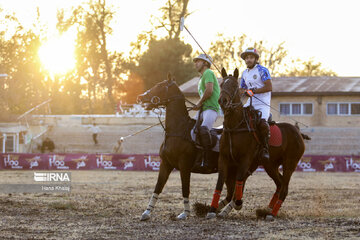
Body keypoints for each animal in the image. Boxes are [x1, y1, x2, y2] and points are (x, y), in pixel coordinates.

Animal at [138, 73, 222, 221]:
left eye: (159, 85)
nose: (140, 97)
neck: (177, 129)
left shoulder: (184, 165)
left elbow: (185, 188)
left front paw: (185, 213)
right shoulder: (165, 164)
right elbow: (158, 187)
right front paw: (147, 212)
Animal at [205, 68, 306, 220]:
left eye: (234, 86)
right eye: (222, 84)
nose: (222, 101)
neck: (235, 126)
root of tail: (298, 132)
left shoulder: (245, 159)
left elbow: (239, 180)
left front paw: (238, 203)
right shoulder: (224, 158)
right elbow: (220, 181)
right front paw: (212, 210)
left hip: (290, 163)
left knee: (285, 187)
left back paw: (271, 214)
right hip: (270, 164)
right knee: (280, 183)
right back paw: (267, 210)